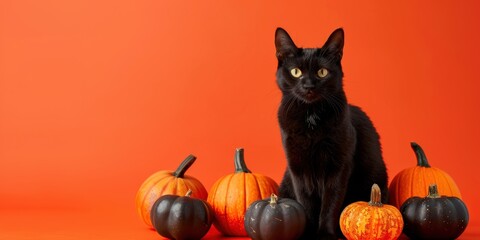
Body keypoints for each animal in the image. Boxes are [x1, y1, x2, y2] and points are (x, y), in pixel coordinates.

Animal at [274, 27, 390, 239]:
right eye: (296, 72)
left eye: (322, 72)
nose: (309, 86)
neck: (311, 116)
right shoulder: (297, 167)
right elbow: (306, 202)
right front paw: (308, 231)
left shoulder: (339, 166)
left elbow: (331, 203)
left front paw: (325, 233)